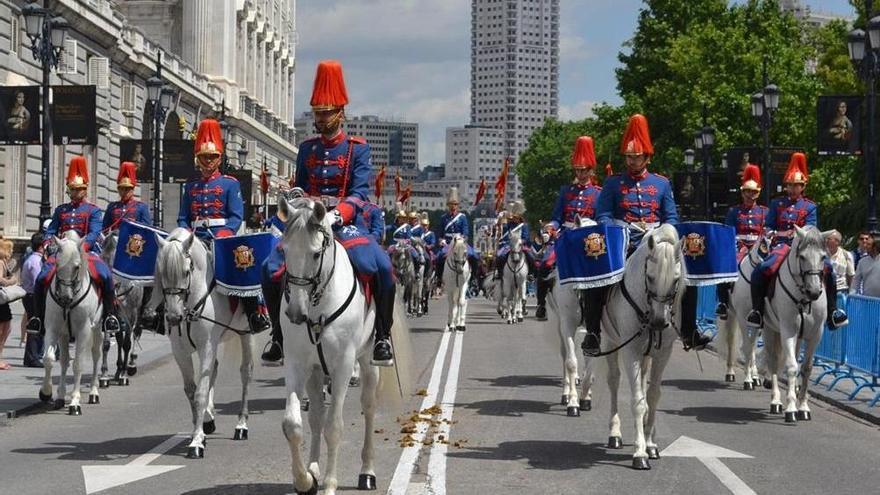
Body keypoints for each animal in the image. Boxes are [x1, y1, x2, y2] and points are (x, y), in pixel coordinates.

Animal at [39, 232, 105, 414]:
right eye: (56, 264)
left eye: (76, 267)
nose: (64, 297)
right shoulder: (53, 328)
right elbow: (49, 359)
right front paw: (47, 392)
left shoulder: (83, 331)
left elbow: (78, 364)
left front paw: (75, 401)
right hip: (65, 335)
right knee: (64, 361)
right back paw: (61, 396)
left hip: (98, 329)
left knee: (97, 355)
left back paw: (94, 392)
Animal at [151, 231, 253, 460]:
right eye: (161, 273)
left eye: (186, 271)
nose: (173, 317)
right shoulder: (179, 350)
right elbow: (192, 390)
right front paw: (200, 430)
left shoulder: (206, 345)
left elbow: (200, 393)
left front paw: (196, 442)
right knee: (214, 369)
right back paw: (208, 418)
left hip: (245, 333)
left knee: (246, 373)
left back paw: (241, 425)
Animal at [276, 198, 384, 495]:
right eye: (284, 251)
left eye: (315, 255)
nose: (295, 313)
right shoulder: (297, 363)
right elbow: (293, 425)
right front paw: (305, 480)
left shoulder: (343, 366)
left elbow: (334, 428)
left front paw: (329, 485)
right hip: (315, 372)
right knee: (315, 415)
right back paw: (314, 468)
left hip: (368, 361)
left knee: (369, 407)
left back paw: (367, 472)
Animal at [584, 225, 688, 468]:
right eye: (650, 277)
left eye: (675, 280)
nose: (659, 322)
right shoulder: (630, 350)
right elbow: (637, 401)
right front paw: (640, 453)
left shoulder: (662, 353)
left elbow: (653, 395)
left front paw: (650, 444)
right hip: (611, 342)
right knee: (614, 382)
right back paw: (615, 434)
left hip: (646, 354)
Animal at [732, 226, 828, 422]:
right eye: (802, 257)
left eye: (823, 257)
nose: (814, 292)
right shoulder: (788, 330)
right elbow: (791, 367)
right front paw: (791, 408)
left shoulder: (815, 334)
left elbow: (806, 368)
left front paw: (803, 406)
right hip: (761, 326)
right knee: (765, 356)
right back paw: (773, 399)